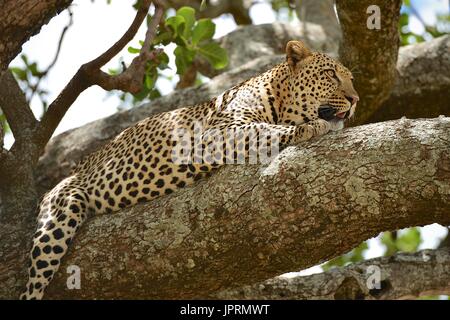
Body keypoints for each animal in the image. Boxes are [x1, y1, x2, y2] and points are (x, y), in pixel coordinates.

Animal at [20, 40, 358, 300]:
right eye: (330, 74)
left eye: (352, 80)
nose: (355, 99)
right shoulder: (216, 133)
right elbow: (268, 129)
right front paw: (309, 128)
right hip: (64, 208)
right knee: (34, 279)